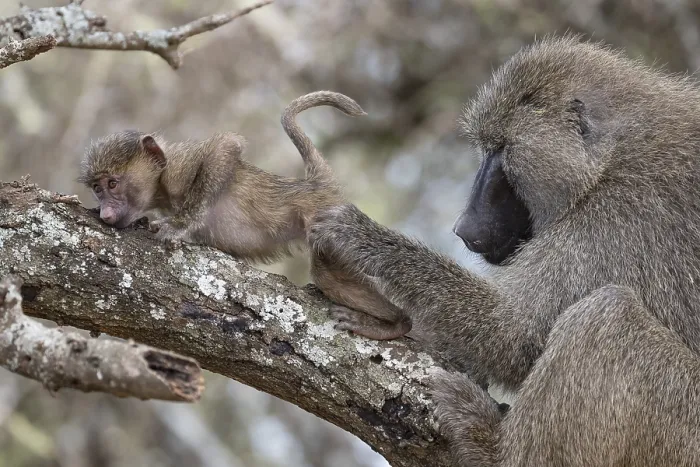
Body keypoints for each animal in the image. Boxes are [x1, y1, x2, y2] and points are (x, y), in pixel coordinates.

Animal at [79, 91, 410, 340]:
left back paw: (398, 323)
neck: (161, 189)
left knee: (328, 275)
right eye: (97, 188)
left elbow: (225, 146)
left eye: (113, 184)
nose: (106, 213)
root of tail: (314, 185)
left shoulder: (179, 170)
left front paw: (181, 226)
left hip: (325, 221)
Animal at [307, 35, 700, 466]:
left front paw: (362, 237)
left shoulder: (615, 218)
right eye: (485, 148)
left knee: (608, 314)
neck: (616, 153)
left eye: (501, 149)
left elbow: (514, 337)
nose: (463, 229)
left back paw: (488, 446)